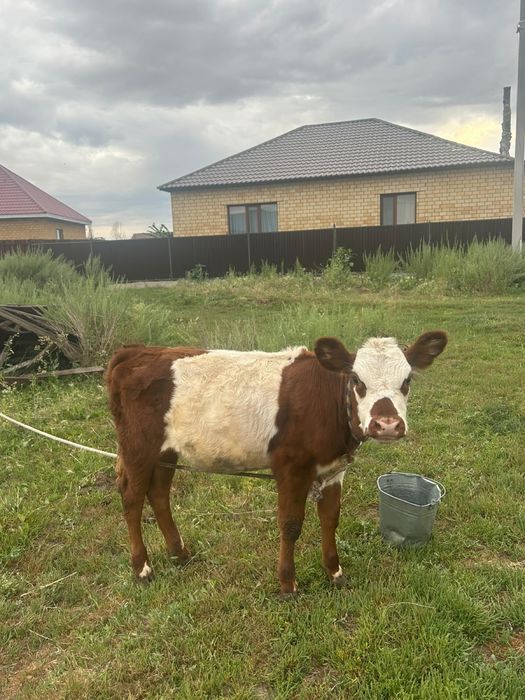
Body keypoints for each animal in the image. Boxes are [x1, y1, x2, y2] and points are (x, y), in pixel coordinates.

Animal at [106, 330, 447, 595]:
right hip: (138, 448)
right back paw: (142, 568)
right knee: (132, 499)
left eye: (407, 380)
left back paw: (180, 554)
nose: (387, 424)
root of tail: (134, 350)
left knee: (159, 494)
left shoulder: (334, 469)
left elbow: (330, 519)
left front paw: (335, 572)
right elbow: (291, 524)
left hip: (166, 452)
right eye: (356, 379)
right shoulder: (291, 466)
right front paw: (287, 584)